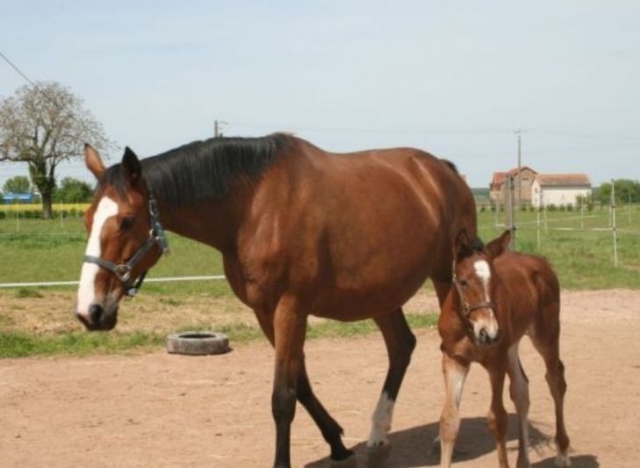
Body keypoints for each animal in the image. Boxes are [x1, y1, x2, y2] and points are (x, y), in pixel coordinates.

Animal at [75, 133, 477, 468]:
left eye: (127, 221)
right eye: (88, 219)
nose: (89, 311)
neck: (254, 207)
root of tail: (443, 171)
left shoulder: (291, 308)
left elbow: (282, 398)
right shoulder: (264, 311)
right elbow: (300, 383)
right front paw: (337, 443)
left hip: (447, 279)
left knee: (454, 347)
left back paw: (443, 439)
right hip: (381, 294)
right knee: (401, 347)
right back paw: (378, 440)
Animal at [437, 229, 571, 468]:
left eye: (496, 282)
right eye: (463, 282)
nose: (488, 332)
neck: (468, 328)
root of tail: (540, 261)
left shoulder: (495, 362)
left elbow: (497, 418)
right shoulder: (454, 359)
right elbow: (449, 421)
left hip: (545, 333)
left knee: (555, 379)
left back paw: (562, 452)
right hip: (511, 346)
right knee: (521, 388)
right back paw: (523, 461)